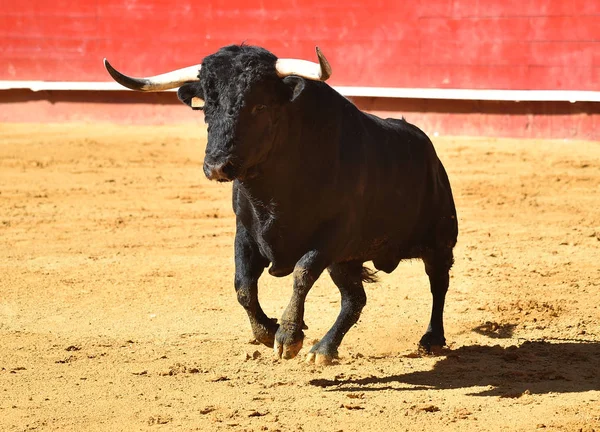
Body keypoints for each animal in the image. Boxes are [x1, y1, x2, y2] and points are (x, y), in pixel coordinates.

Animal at [104, 44, 460, 364]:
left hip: (439, 241)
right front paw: (268, 331)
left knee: (438, 283)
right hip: (346, 261)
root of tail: (427, 149)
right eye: (207, 107)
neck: (274, 188)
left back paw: (432, 339)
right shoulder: (246, 232)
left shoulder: (333, 234)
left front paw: (288, 336)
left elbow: (302, 273)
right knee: (355, 299)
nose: (217, 166)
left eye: (260, 106)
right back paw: (324, 350)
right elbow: (243, 286)